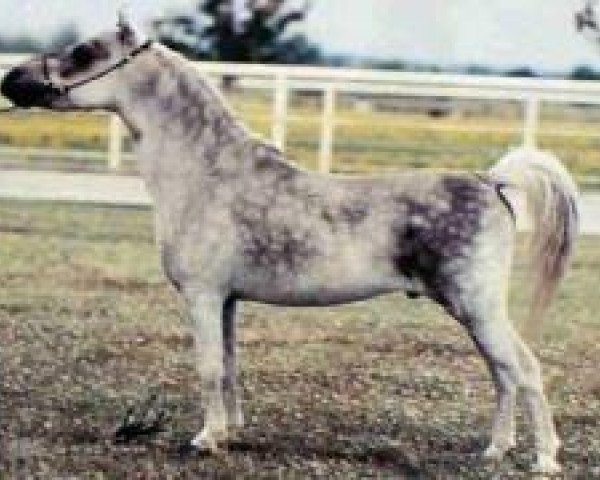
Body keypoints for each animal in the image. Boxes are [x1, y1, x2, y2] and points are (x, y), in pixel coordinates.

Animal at [1, 17, 580, 472]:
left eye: (84, 51)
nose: (12, 80)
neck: (206, 174)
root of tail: (491, 182)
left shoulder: (202, 295)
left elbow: (208, 368)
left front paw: (205, 439)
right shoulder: (226, 301)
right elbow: (228, 365)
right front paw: (229, 431)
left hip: (477, 306)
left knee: (525, 372)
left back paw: (544, 459)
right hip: (473, 312)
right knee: (504, 376)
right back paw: (495, 451)